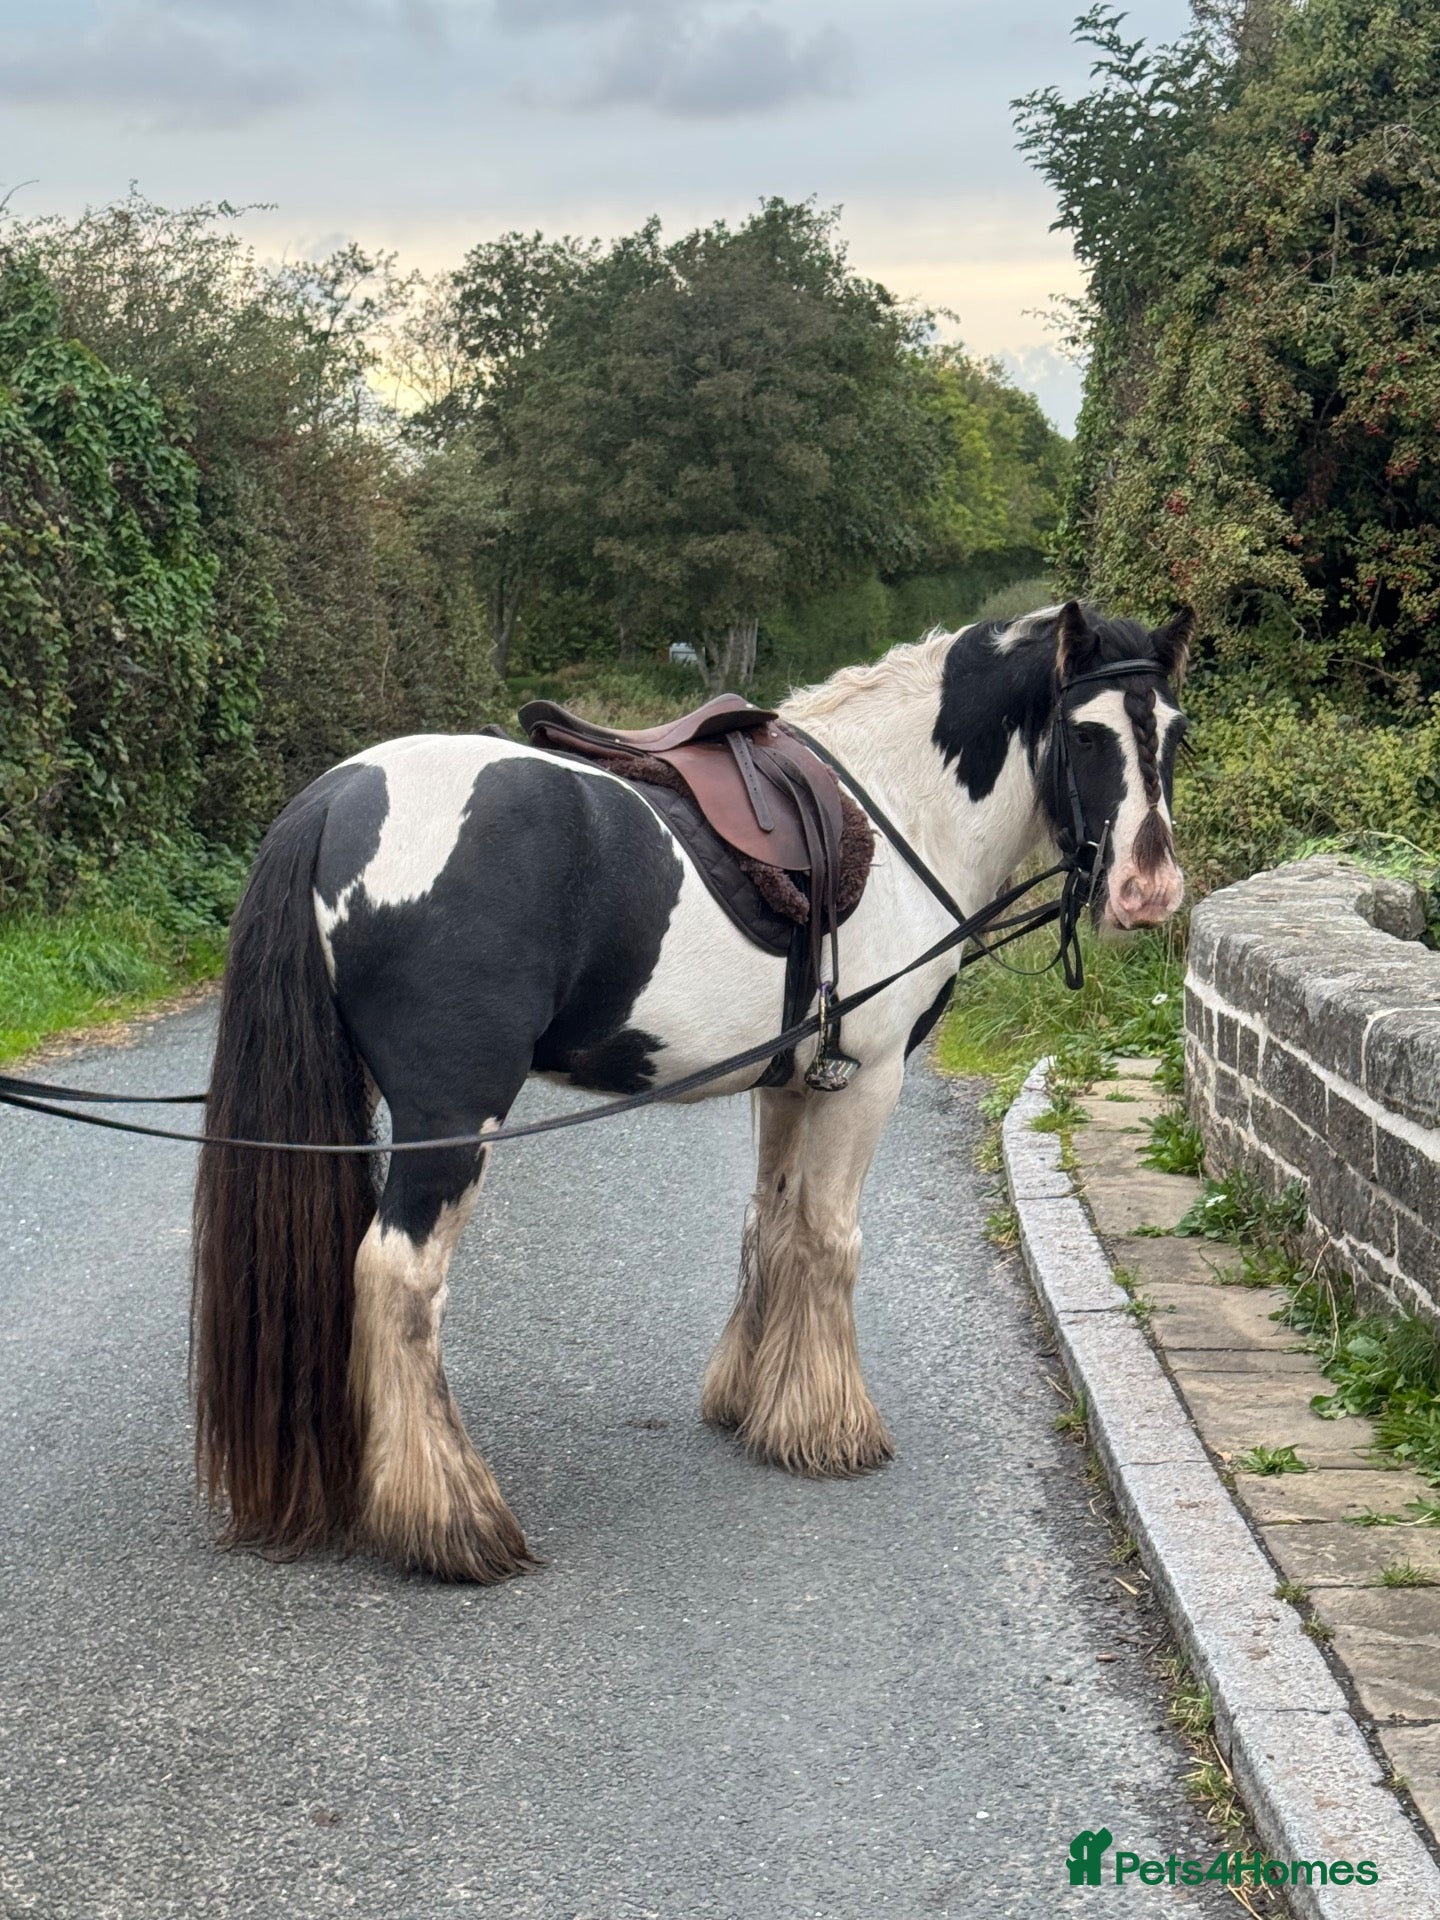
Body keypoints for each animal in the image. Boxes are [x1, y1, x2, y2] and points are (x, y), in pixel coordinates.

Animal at [191, 599, 1192, 1582]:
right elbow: (831, 1239)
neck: (899, 805)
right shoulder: (866, 1078)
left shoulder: (790, 1081)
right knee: (398, 1279)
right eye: (1088, 734)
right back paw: (454, 1523)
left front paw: (754, 1403)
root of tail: (333, 800)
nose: (1149, 892)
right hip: (452, 1119)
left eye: (1175, 732)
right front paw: (829, 1427)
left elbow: (772, 1223)